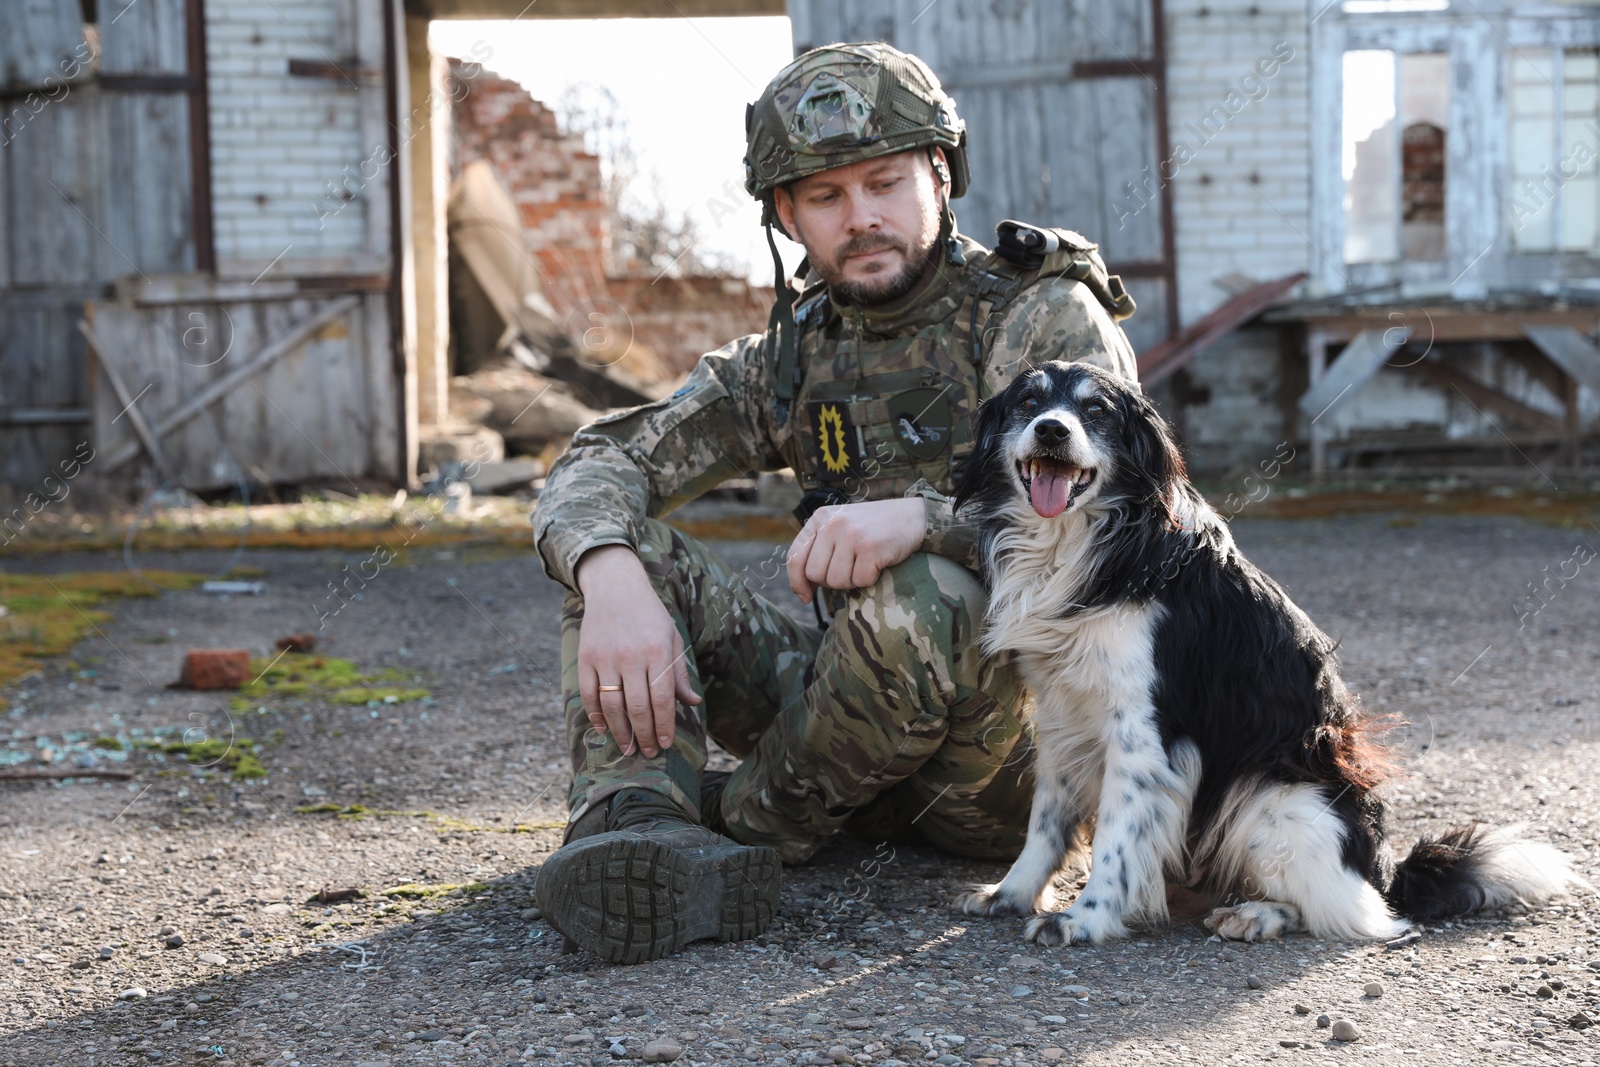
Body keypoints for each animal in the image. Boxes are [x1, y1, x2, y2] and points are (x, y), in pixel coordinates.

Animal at [953, 363, 1580, 947]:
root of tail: (1387, 874)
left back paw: (1257, 915)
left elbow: (1116, 836)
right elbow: (1047, 820)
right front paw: (1012, 893)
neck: (1085, 543)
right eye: (1028, 402)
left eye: (1097, 411)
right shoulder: (1061, 711)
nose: (1052, 430)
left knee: (1354, 913)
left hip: (1272, 796)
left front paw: (1085, 919)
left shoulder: (1144, 734)